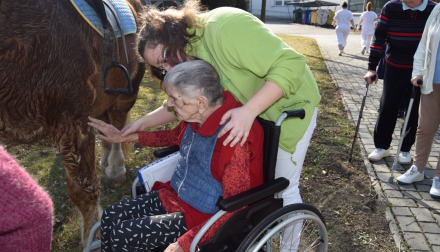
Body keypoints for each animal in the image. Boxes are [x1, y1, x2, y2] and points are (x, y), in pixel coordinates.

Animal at [0, 0, 146, 245]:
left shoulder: (71, 121)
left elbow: (83, 192)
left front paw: (93, 240)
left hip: (126, 92)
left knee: (117, 128)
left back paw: (115, 169)